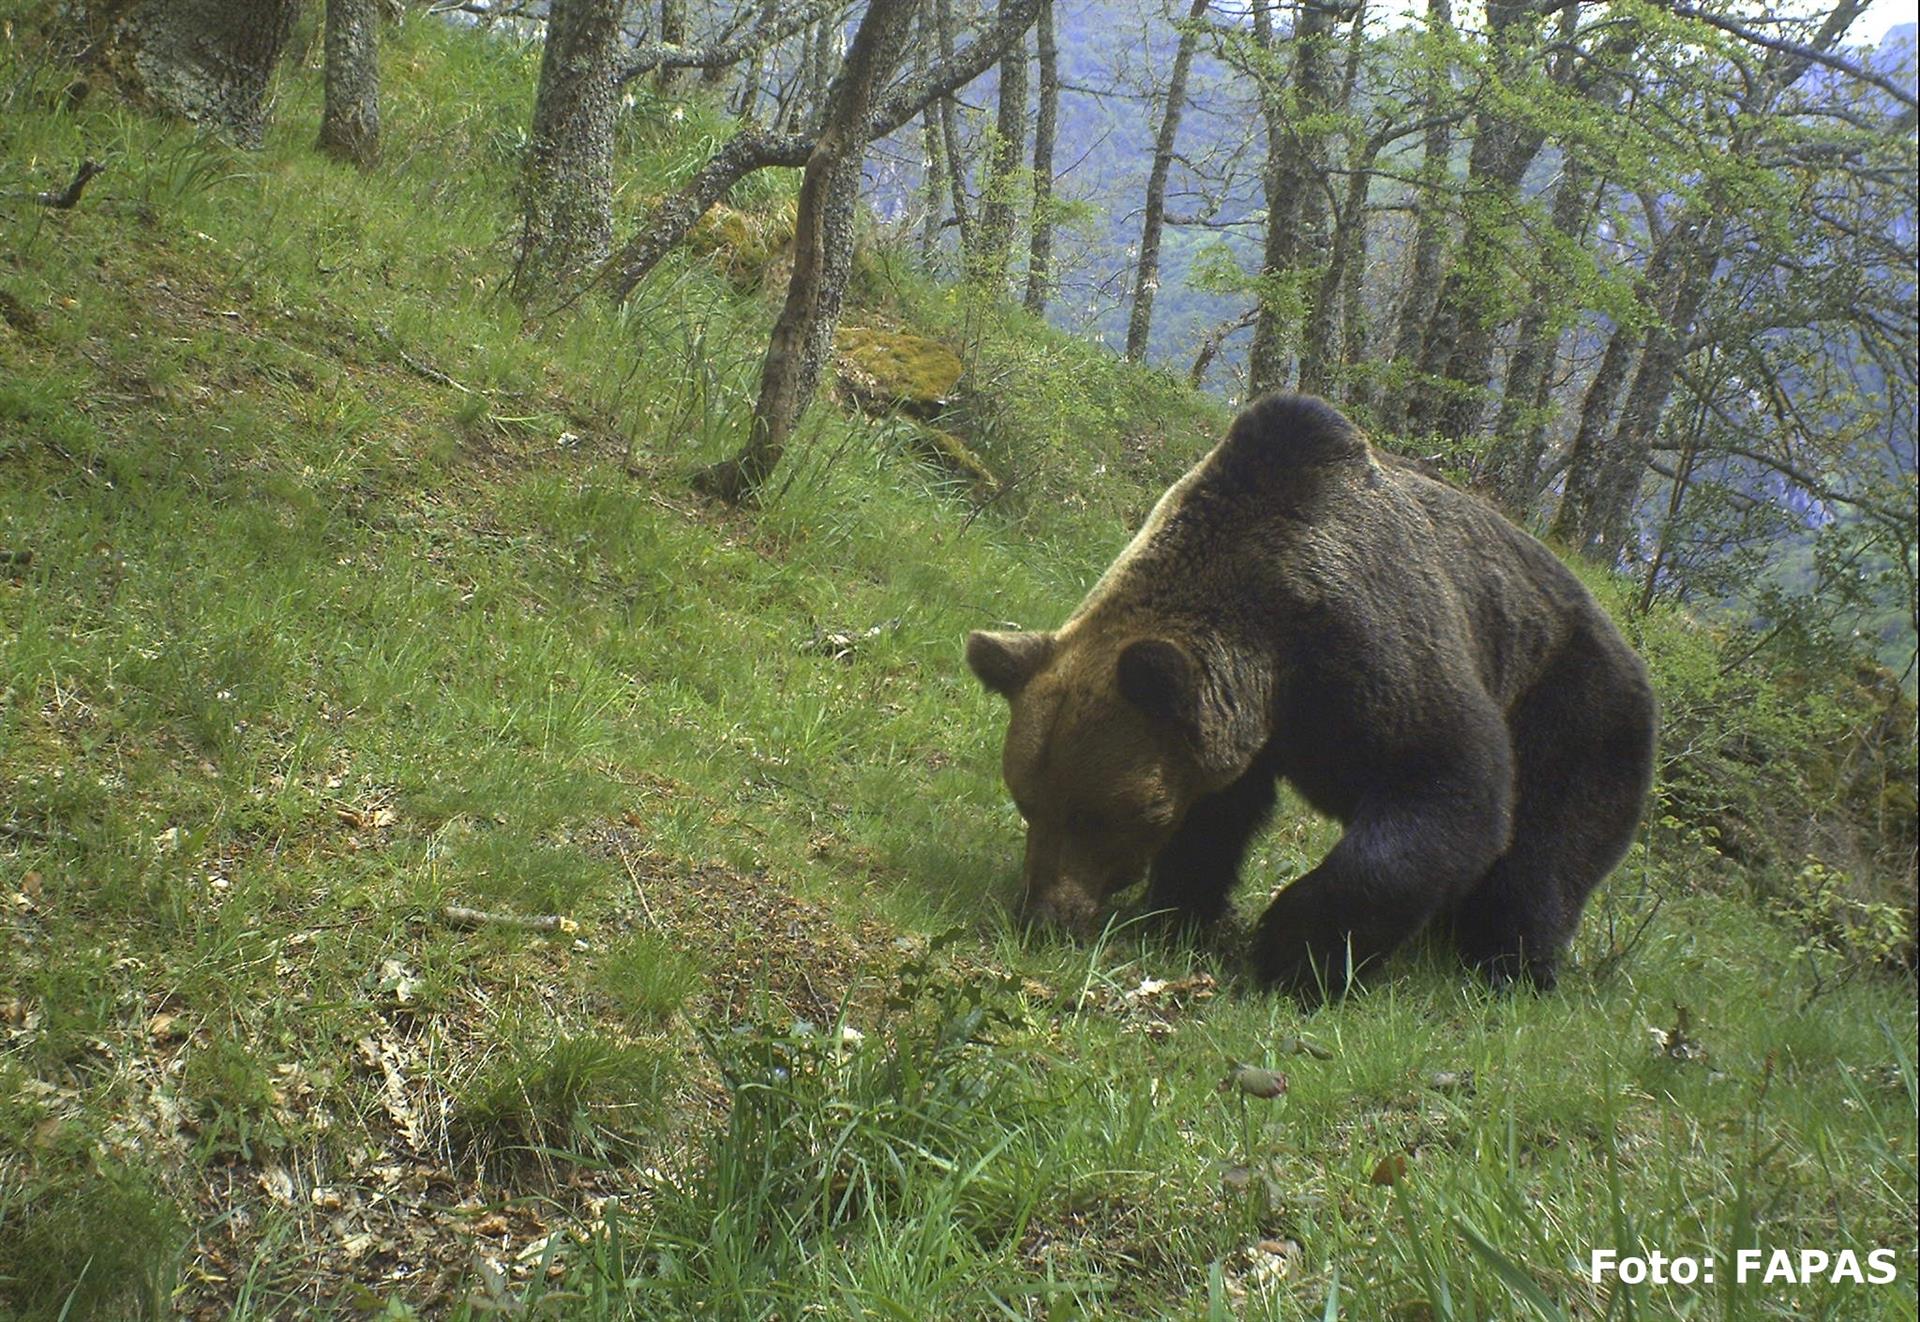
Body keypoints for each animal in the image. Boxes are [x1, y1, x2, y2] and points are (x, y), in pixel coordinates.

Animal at [967, 391, 1658, 990]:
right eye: (1028, 800)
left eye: (1098, 814)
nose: (1046, 914)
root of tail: (1629, 646)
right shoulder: (1242, 728)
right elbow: (1218, 819)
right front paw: (1181, 910)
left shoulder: (1369, 645)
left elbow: (1447, 778)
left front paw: (1291, 951)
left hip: (1577, 706)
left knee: (1542, 858)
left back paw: (1511, 968)